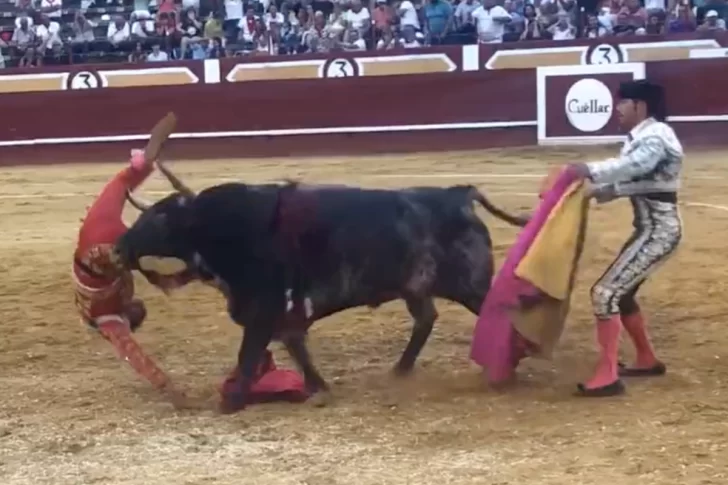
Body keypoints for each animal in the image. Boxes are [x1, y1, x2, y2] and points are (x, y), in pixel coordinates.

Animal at [118, 176, 528, 406]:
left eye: (159, 218)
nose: (120, 246)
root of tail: (457, 194)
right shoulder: (282, 315)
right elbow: (296, 349)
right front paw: (317, 386)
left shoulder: (263, 308)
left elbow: (249, 355)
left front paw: (232, 400)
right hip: (415, 287)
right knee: (426, 318)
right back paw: (400, 370)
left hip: (471, 287)